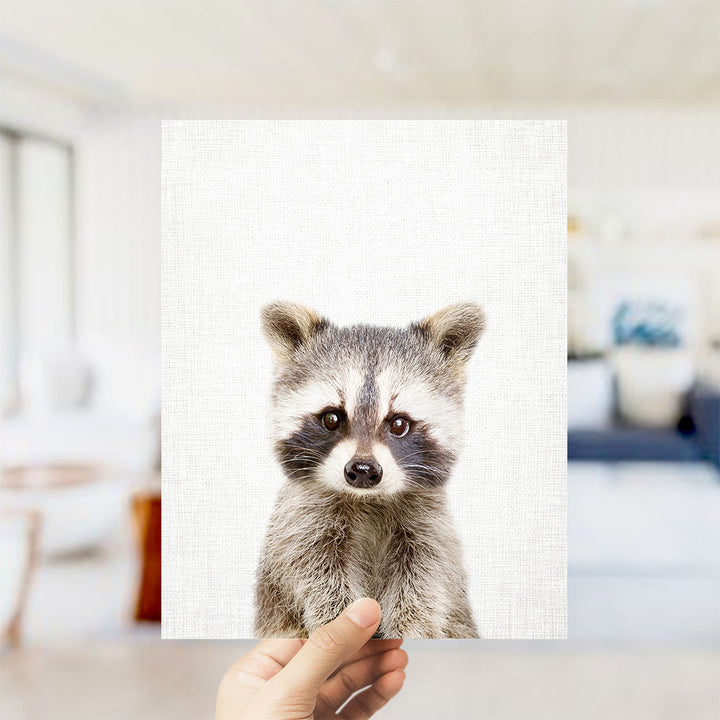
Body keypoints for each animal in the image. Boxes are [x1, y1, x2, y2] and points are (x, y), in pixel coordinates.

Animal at [254, 301, 484, 639]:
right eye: (332, 418)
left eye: (399, 423)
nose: (362, 469)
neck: (368, 499)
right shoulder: (302, 522)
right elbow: (315, 573)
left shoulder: (429, 527)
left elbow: (426, 579)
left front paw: (410, 629)